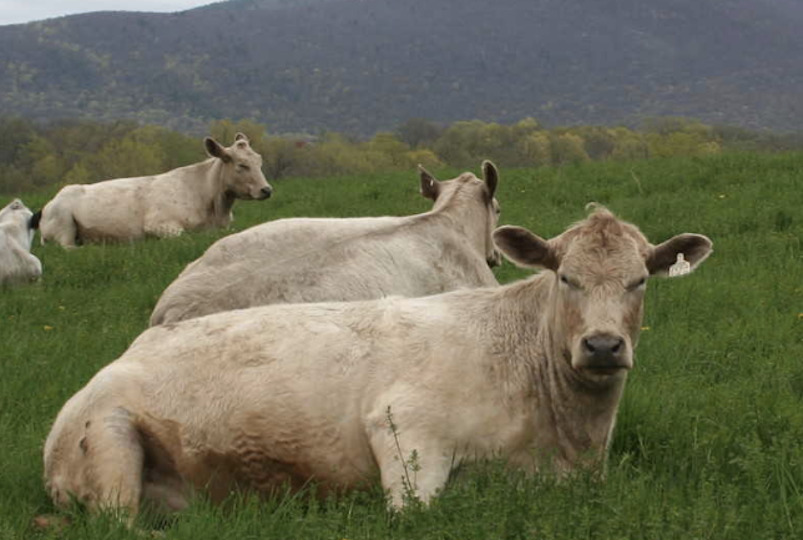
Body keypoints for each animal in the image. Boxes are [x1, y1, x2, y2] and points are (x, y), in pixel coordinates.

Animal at [37, 133, 273, 248]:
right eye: (242, 165)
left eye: (260, 161)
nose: (267, 190)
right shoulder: (158, 224)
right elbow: (186, 237)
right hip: (63, 225)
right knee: (67, 247)